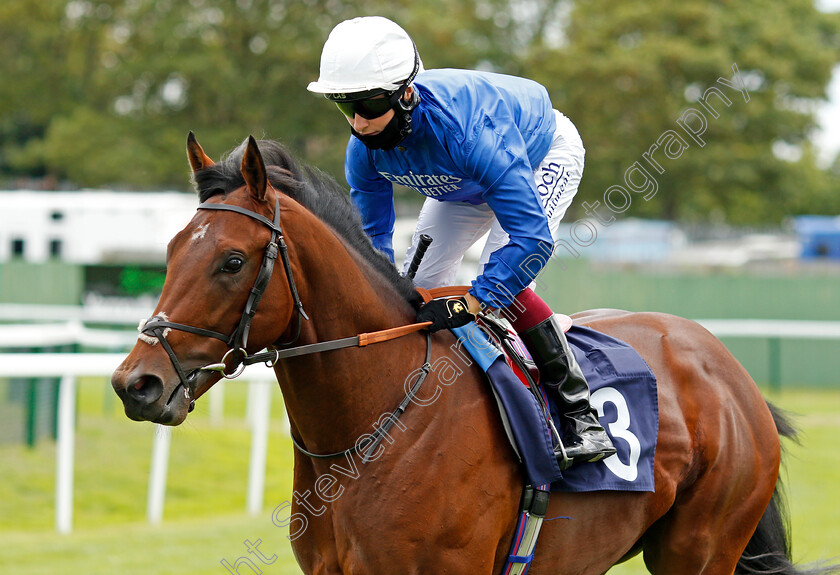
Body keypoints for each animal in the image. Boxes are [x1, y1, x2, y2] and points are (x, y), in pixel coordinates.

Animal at [111, 133, 832, 572]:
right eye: (170, 252)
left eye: (231, 262)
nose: (134, 383)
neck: (371, 424)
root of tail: (729, 369)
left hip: (700, 548)